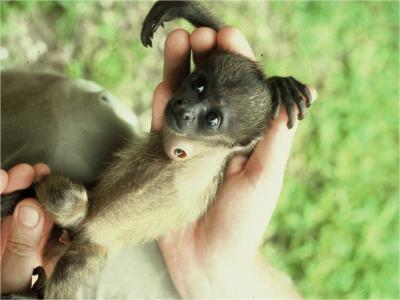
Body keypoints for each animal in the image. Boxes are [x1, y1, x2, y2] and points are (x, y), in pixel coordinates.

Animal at [18, 1, 312, 298]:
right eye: (199, 84)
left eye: (212, 119)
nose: (184, 108)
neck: (204, 147)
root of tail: (82, 228)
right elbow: (221, 35)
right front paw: (180, 9)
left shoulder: (231, 152)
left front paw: (280, 85)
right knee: (68, 200)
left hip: (91, 247)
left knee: (72, 255)